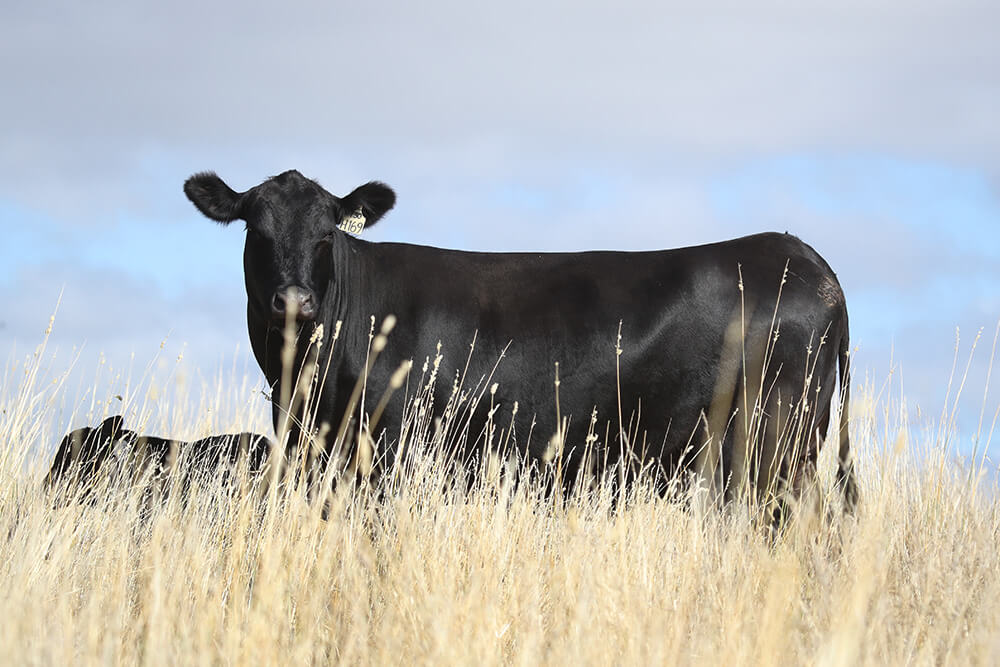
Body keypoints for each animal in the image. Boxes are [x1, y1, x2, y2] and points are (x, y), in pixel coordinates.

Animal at [184, 169, 859, 514]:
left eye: (326, 233)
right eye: (254, 229)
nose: (294, 301)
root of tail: (803, 255)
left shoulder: (388, 454)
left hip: (777, 440)